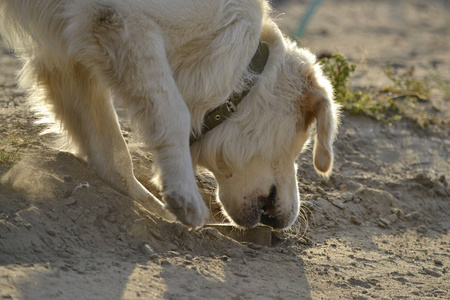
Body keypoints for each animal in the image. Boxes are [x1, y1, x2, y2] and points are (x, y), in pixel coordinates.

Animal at [0, 0, 338, 230]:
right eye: (302, 145)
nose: (289, 219)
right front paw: (183, 195)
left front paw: (150, 206)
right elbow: (172, 113)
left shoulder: (73, 48)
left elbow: (112, 154)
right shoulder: (120, 19)